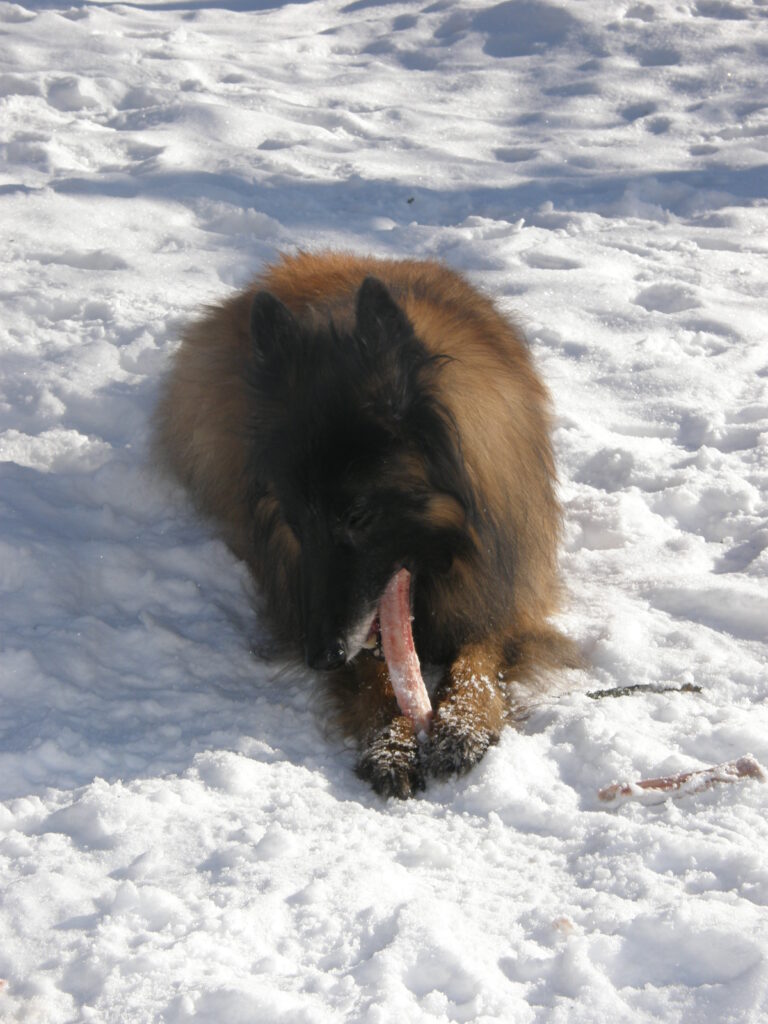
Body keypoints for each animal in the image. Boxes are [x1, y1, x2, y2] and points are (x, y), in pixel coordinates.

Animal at [154, 251, 577, 794]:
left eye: (358, 515)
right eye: (297, 520)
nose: (319, 656)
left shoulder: (505, 591)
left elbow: (481, 651)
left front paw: (464, 719)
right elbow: (373, 672)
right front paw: (392, 743)